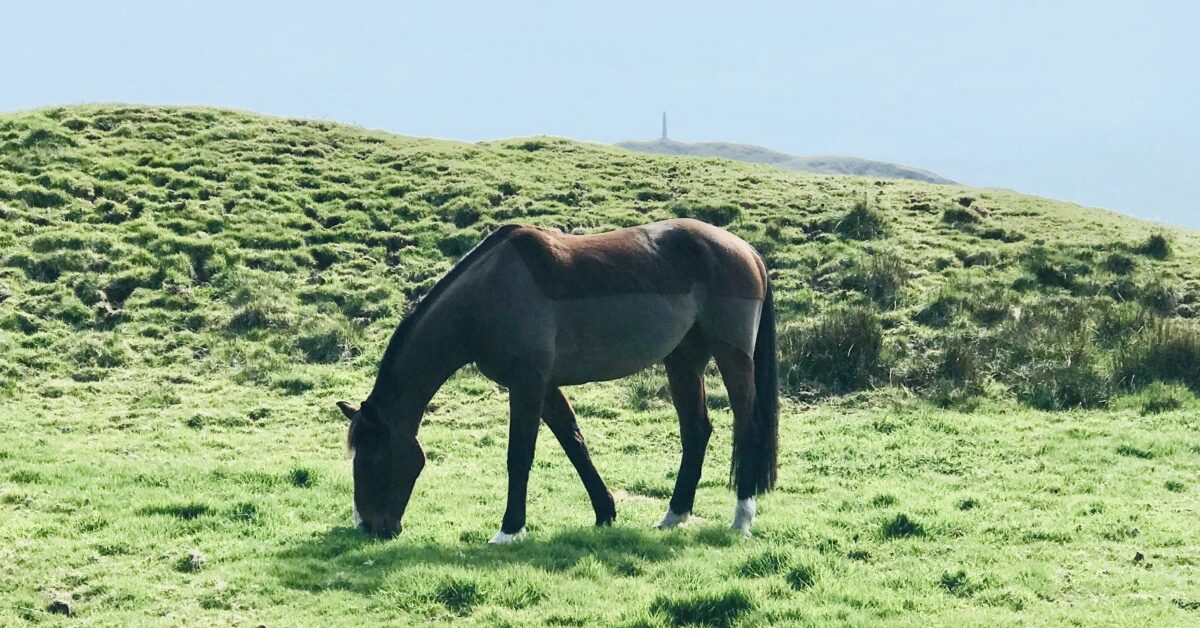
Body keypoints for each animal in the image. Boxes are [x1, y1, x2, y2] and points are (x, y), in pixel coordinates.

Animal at [338, 218, 777, 542]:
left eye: (373, 457)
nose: (369, 527)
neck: (487, 292)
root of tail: (747, 250)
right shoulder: (545, 386)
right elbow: (574, 442)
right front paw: (605, 512)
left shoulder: (527, 383)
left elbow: (520, 455)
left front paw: (510, 530)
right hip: (683, 359)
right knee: (696, 430)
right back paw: (675, 515)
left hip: (732, 355)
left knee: (747, 425)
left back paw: (741, 519)